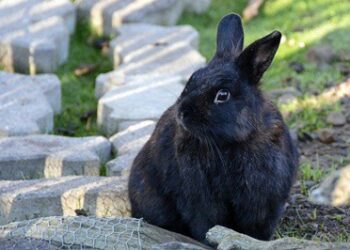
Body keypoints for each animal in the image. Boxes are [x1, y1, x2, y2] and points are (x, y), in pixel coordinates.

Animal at [129, 13, 298, 242]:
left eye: (222, 95)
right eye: (191, 79)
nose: (182, 113)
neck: (230, 144)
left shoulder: (264, 201)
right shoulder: (199, 200)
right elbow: (206, 223)